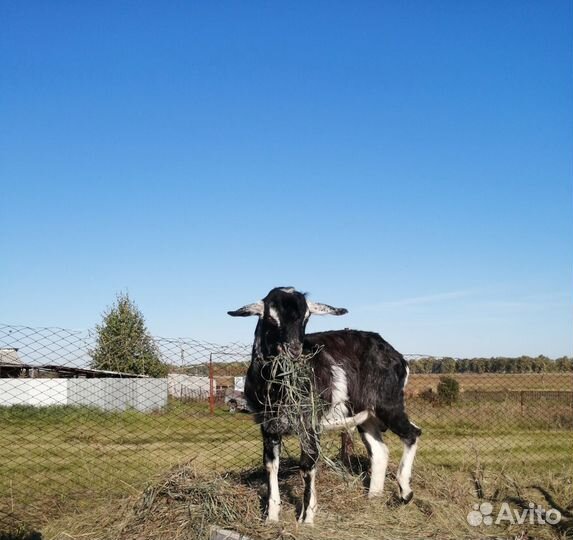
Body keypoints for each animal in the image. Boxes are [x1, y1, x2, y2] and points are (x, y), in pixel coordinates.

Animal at [228, 286, 420, 524]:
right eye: (271, 317)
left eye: (306, 317)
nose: (295, 349)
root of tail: (399, 357)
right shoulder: (268, 425)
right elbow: (271, 466)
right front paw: (271, 518)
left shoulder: (310, 424)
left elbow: (307, 465)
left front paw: (307, 518)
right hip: (366, 415)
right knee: (379, 451)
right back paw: (373, 498)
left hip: (389, 403)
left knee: (412, 433)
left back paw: (405, 492)